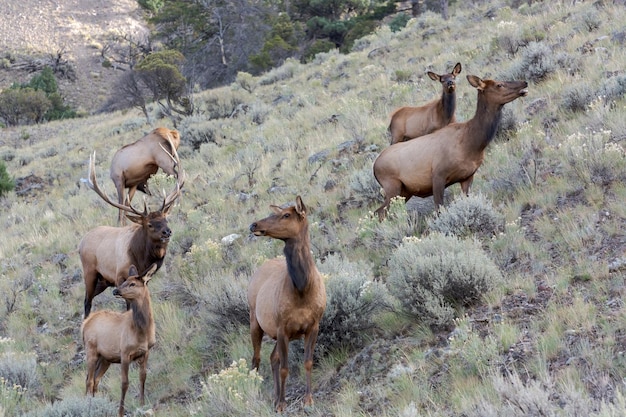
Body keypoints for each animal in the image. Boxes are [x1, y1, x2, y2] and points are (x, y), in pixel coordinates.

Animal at [76, 141, 183, 316]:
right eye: (149, 224)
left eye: (165, 219)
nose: (167, 232)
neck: (142, 258)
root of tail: (80, 243)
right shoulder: (120, 276)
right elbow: (128, 306)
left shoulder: (143, 279)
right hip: (90, 272)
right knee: (87, 301)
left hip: (104, 280)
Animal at [81, 264, 156, 416]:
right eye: (124, 281)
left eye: (132, 283)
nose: (116, 290)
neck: (142, 331)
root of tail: (85, 324)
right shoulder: (125, 353)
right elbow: (125, 383)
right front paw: (120, 411)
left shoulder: (146, 352)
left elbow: (142, 377)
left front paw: (142, 404)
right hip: (91, 351)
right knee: (89, 380)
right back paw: (88, 407)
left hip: (105, 358)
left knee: (95, 379)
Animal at [247, 195, 326, 410]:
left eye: (286, 214)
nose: (254, 224)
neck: (302, 290)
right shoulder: (282, 326)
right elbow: (285, 368)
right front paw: (282, 404)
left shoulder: (313, 325)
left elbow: (307, 362)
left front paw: (308, 399)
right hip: (255, 320)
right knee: (256, 359)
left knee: (272, 357)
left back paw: (275, 396)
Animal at [372, 74, 528, 219]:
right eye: (499, 84)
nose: (524, 82)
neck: (472, 144)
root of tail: (374, 167)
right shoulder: (438, 175)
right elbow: (439, 210)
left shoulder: (467, 177)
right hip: (392, 186)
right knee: (379, 213)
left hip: (405, 192)